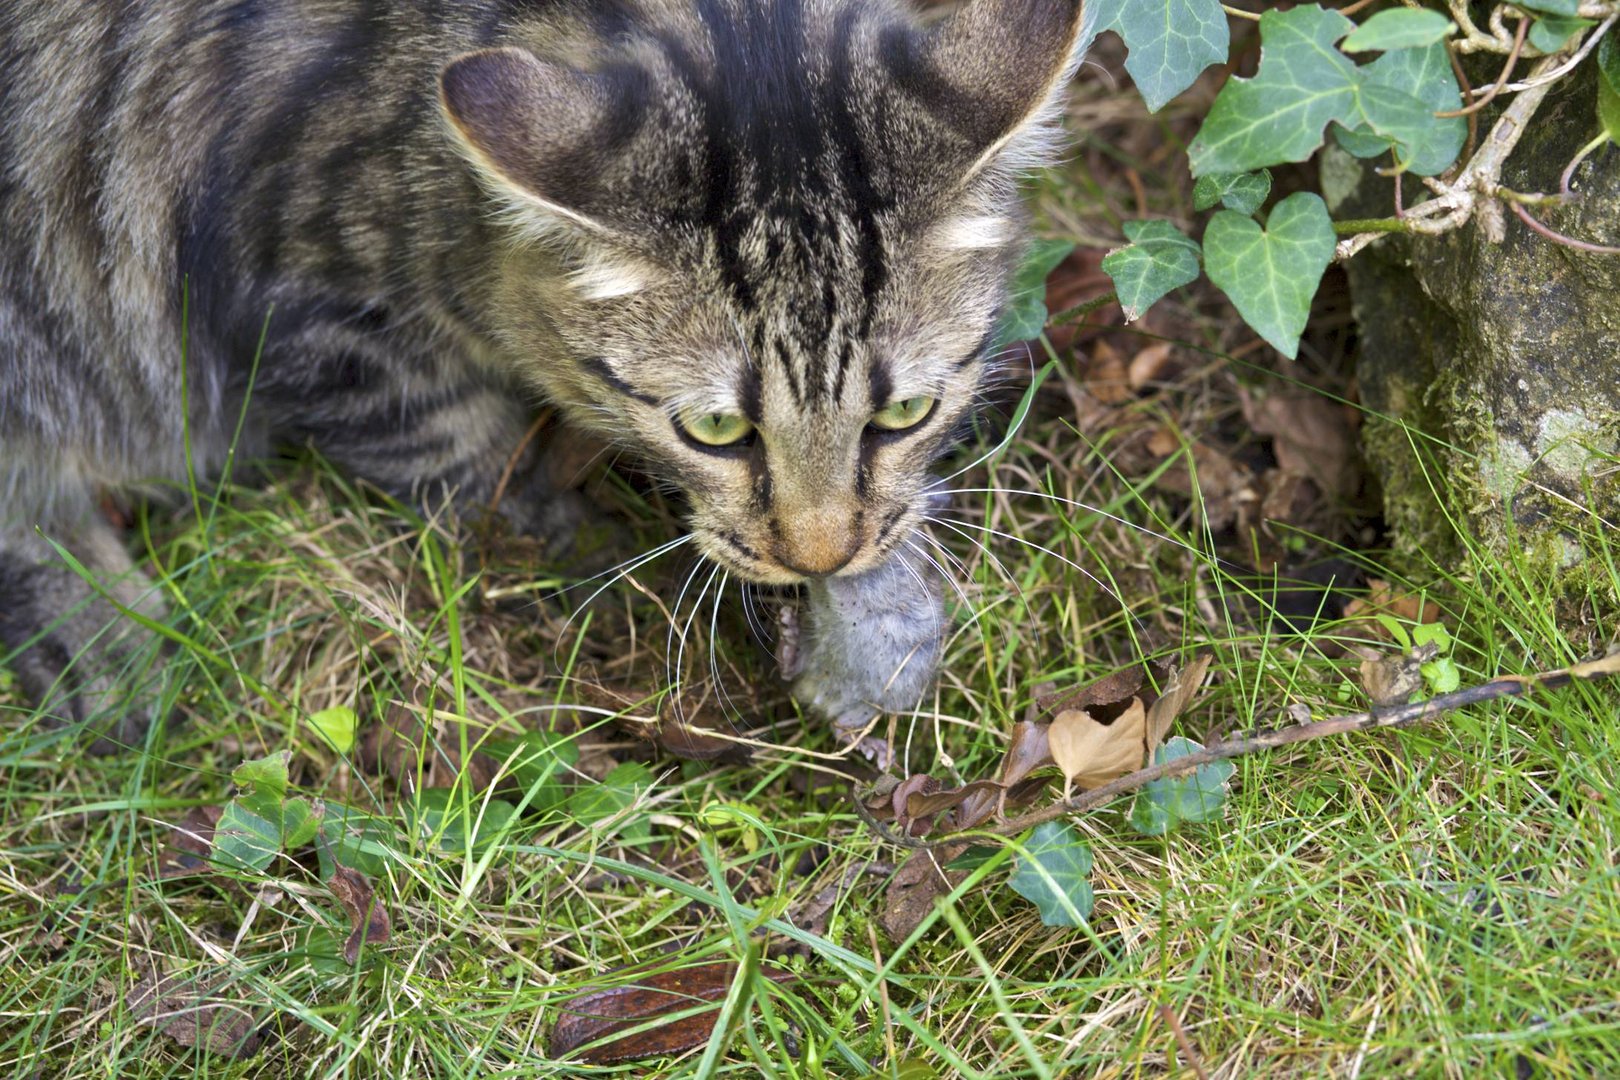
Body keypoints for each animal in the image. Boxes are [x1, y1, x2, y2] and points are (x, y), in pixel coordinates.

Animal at [3, 0, 1088, 748]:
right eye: (714, 430)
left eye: (906, 410)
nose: (817, 557)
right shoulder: (310, 306)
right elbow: (466, 458)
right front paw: (589, 551)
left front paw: (880, 614)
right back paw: (108, 653)